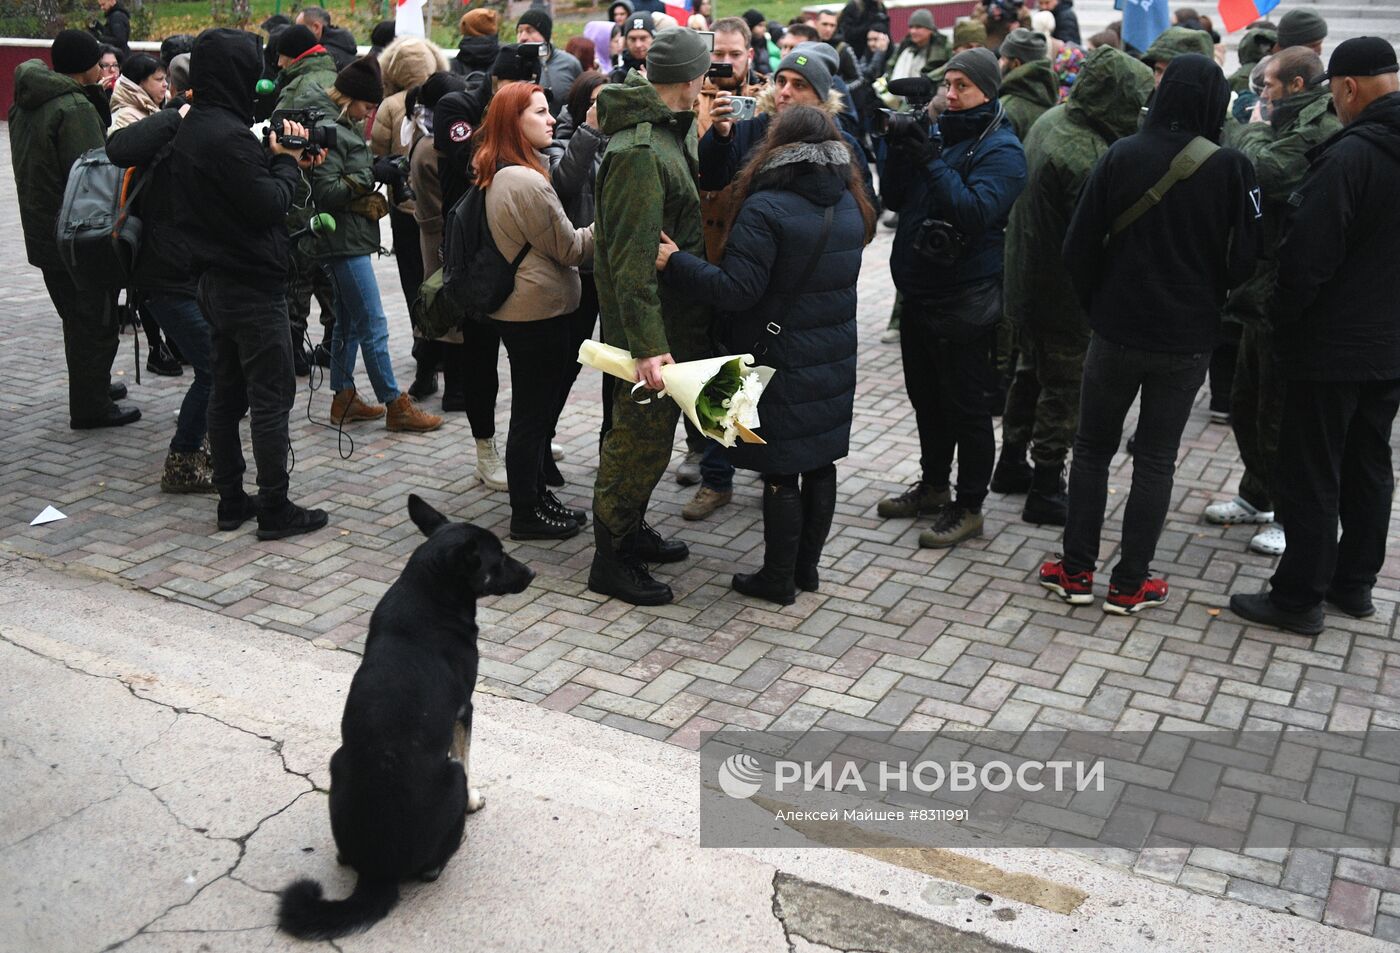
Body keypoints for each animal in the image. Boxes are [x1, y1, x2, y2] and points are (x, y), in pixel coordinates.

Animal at [275, 495, 532, 940]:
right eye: (498, 558)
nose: (532, 573)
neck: (430, 590)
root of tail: (378, 872)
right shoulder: (464, 709)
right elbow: (467, 756)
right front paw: (474, 801)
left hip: (336, 763)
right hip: (449, 780)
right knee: (432, 866)